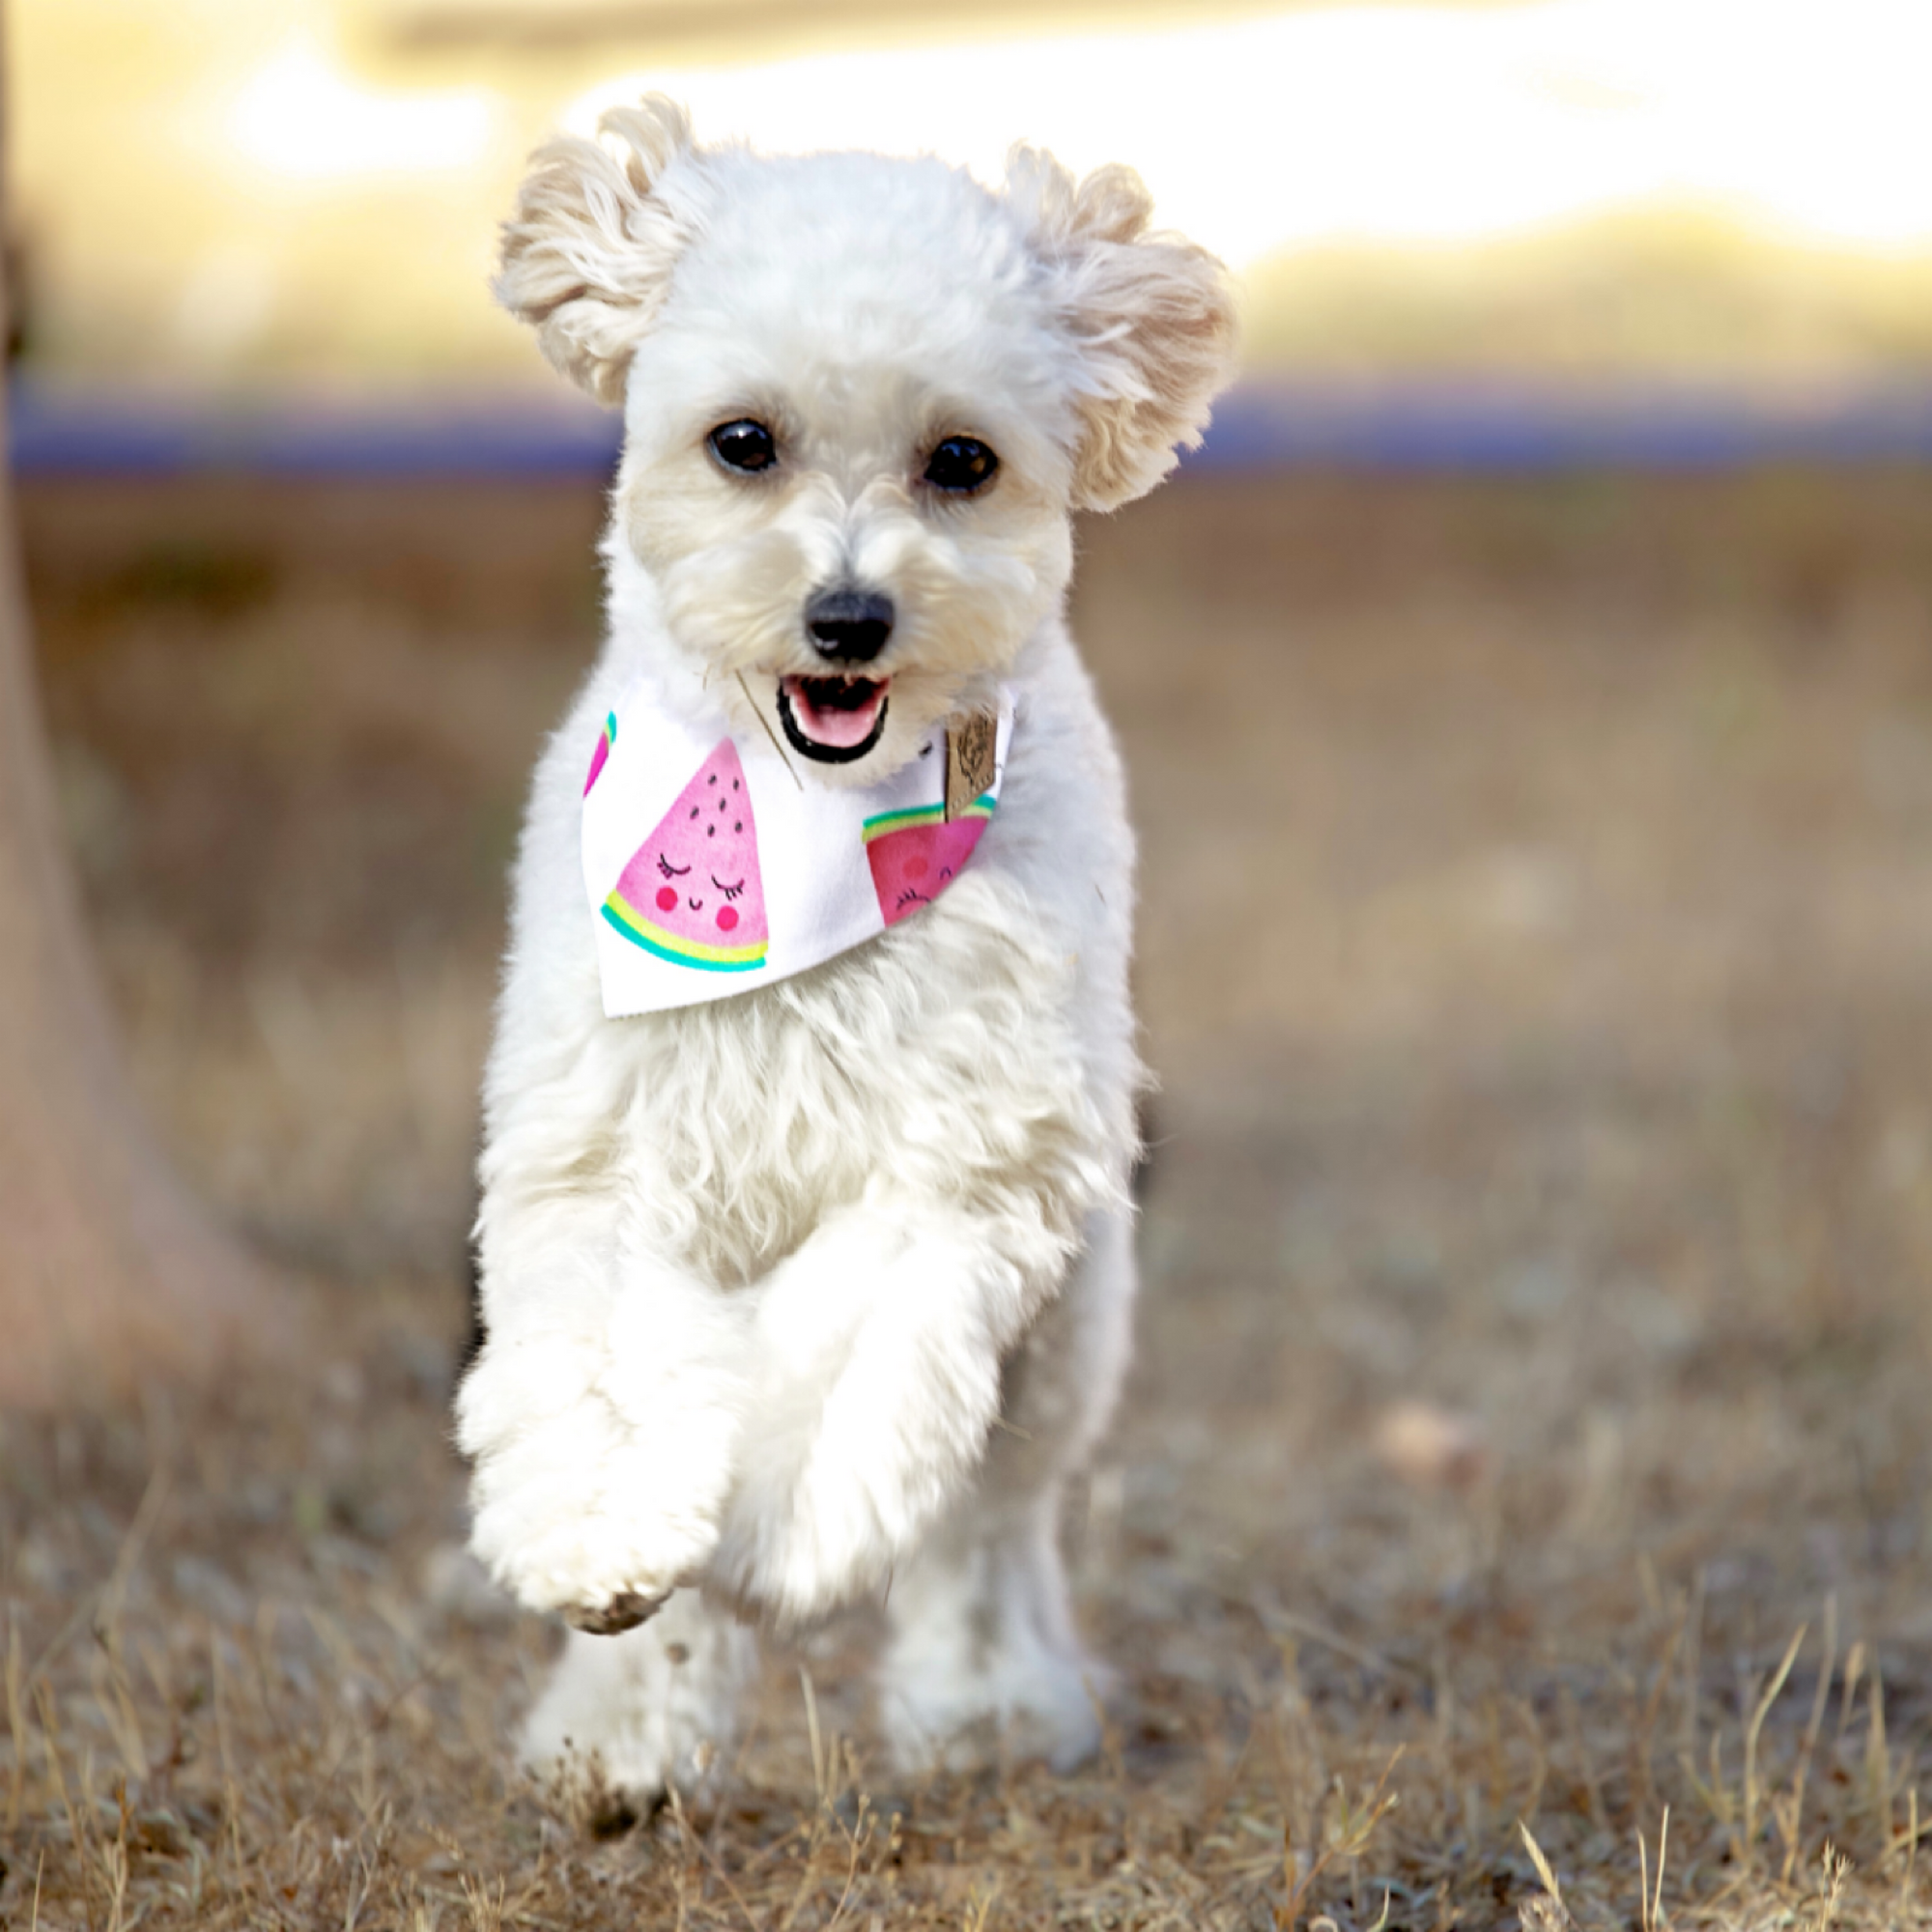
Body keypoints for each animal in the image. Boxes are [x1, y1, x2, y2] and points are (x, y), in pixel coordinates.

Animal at [454, 98, 1236, 1816]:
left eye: (963, 462)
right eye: (744, 441)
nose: (851, 617)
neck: (806, 834)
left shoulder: (961, 1163)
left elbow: (845, 1389)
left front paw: (787, 1530)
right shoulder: (606, 1151)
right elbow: (611, 1387)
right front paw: (607, 1550)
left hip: (1066, 1333)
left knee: (988, 1524)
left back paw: (989, 1695)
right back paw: (626, 1729)